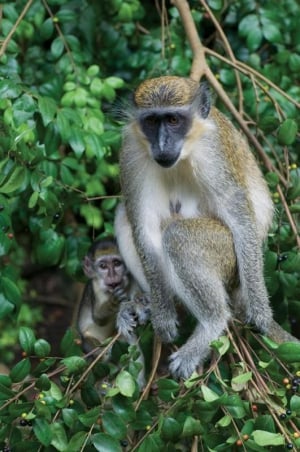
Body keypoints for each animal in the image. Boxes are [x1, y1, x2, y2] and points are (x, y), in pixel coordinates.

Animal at [115, 77, 298, 378]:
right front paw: (162, 315)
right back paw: (148, 304)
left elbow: (239, 218)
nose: (162, 144)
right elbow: (142, 227)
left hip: (228, 260)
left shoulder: (214, 154)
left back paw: (212, 323)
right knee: (123, 217)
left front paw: (262, 314)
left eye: (173, 120)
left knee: (179, 236)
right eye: (152, 121)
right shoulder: (130, 151)